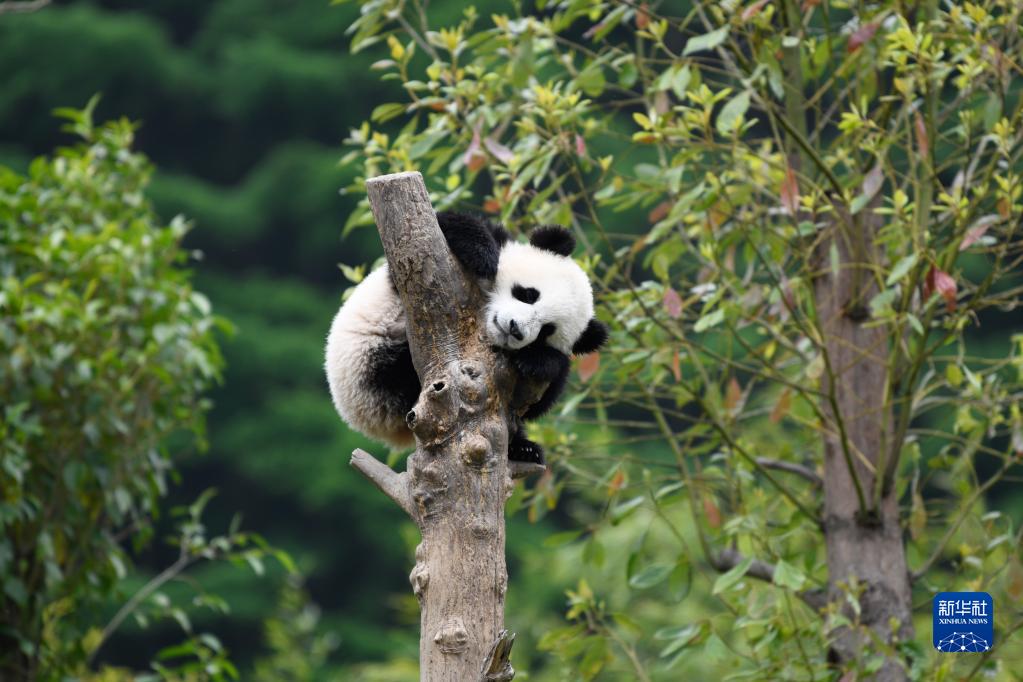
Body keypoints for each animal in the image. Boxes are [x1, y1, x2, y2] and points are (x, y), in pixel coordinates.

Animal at [323, 211, 601, 464]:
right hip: (374, 366)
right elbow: (429, 237)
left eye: (546, 331)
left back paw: (524, 449)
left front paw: (537, 360)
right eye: (528, 294)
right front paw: (482, 255)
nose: (515, 329)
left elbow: (539, 398)